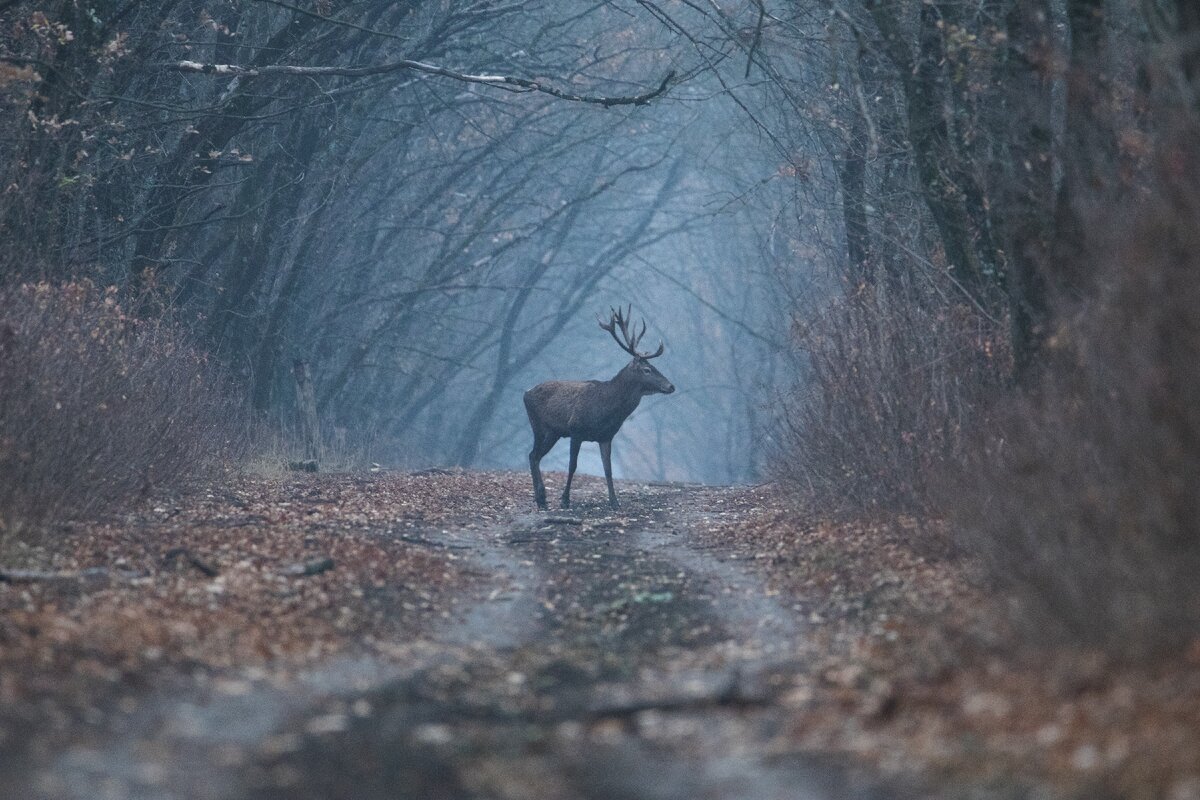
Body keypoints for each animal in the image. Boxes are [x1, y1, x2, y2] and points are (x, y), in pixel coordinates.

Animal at [523, 303, 676, 510]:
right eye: (647, 369)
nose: (671, 386)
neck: (606, 409)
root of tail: (526, 392)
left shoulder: (606, 436)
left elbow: (608, 469)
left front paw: (615, 502)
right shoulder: (576, 430)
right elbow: (573, 465)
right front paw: (565, 500)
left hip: (553, 432)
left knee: (535, 456)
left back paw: (542, 500)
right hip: (539, 427)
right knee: (533, 455)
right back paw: (541, 499)